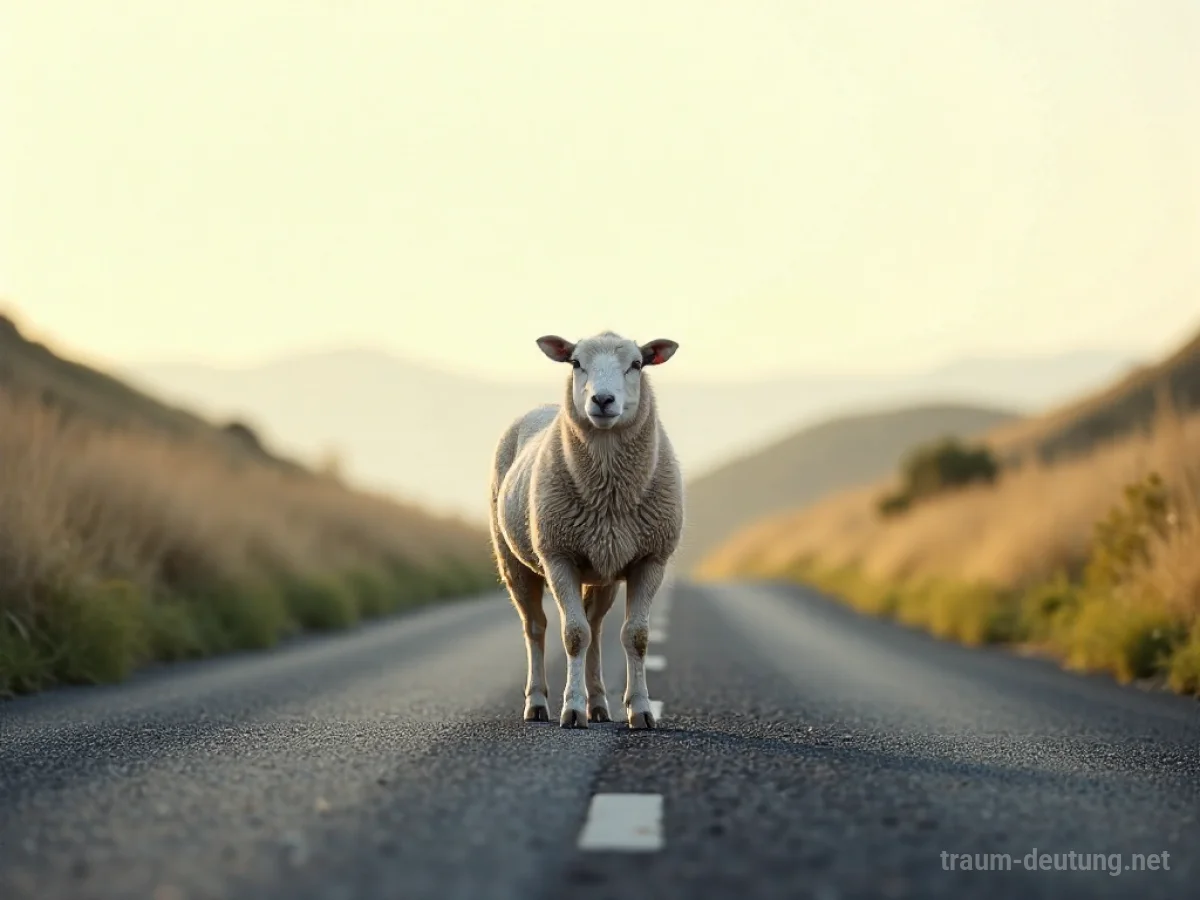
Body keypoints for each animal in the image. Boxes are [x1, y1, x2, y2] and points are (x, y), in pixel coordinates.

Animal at [488, 330, 684, 729]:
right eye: (576, 363)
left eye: (637, 364)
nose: (603, 400)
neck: (609, 495)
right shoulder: (559, 556)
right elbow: (573, 635)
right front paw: (572, 709)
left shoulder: (651, 559)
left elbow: (636, 636)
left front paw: (640, 709)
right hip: (513, 561)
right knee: (536, 627)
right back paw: (537, 703)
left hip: (603, 570)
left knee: (596, 628)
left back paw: (598, 704)